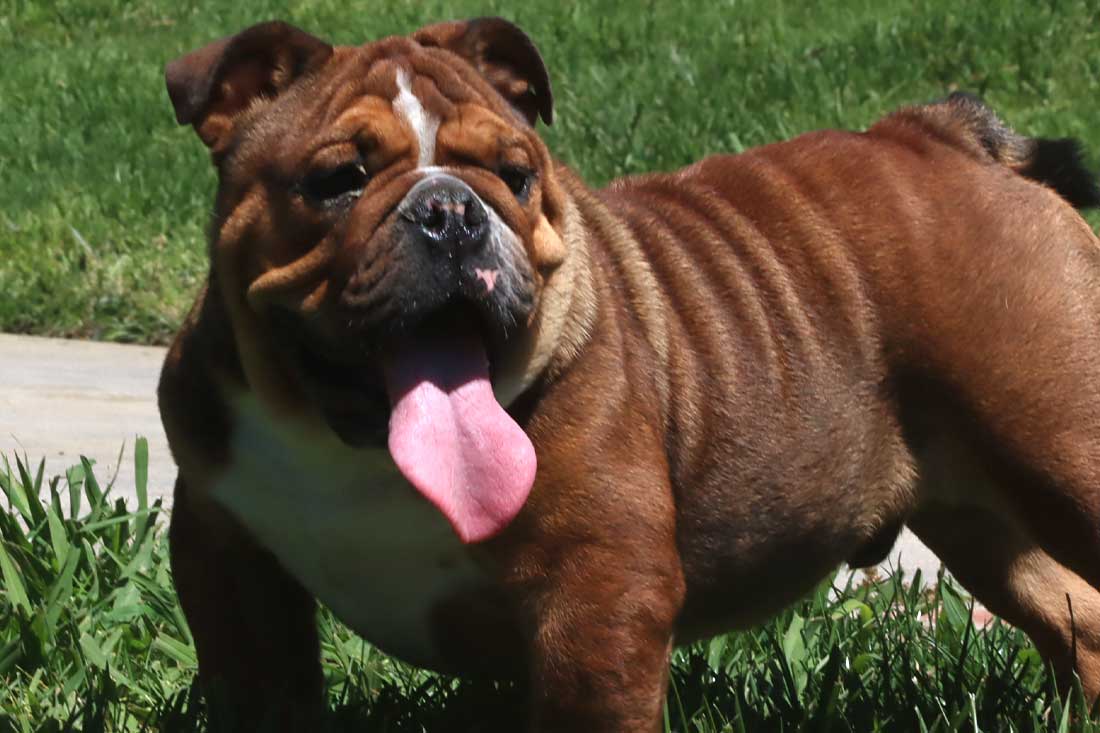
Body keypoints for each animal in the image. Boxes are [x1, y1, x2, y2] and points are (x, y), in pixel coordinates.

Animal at [159, 17, 1100, 731]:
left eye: (515, 175)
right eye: (338, 179)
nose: (452, 209)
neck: (352, 444)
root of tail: (941, 133)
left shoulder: (599, 595)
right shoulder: (225, 556)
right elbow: (261, 692)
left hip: (1060, 448)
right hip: (981, 513)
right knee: (1071, 611)